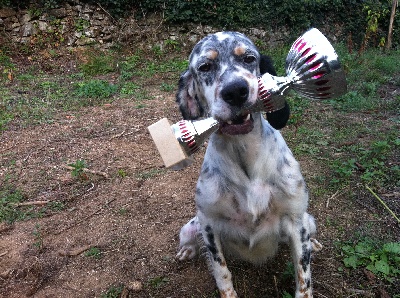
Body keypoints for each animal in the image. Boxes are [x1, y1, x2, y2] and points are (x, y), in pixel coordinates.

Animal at [175, 31, 322, 296]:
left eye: (249, 59)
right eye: (205, 66)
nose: (235, 91)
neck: (243, 151)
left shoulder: (296, 221)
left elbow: (304, 280)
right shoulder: (209, 224)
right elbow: (222, 273)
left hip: (309, 220)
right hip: (191, 226)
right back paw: (187, 250)